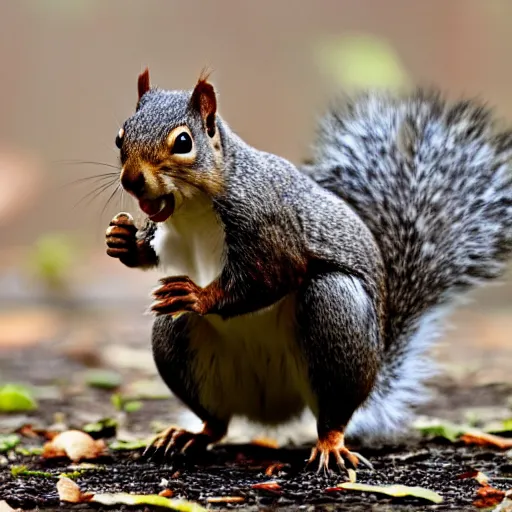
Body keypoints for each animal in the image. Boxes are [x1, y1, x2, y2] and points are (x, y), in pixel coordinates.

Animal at [104, 69, 512, 476]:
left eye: (183, 142)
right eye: (120, 137)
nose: (132, 180)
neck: (191, 205)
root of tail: (273, 412)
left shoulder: (268, 224)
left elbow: (271, 276)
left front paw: (200, 296)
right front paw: (123, 240)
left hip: (335, 313)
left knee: (332, 414)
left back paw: (330, 445)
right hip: (176, 341)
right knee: (215, 421)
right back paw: (187, 436)